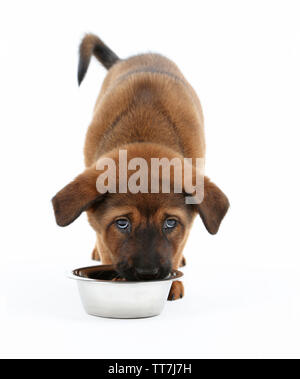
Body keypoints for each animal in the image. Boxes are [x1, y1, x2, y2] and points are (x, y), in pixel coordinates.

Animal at [52, 36, 230, 302]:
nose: (148, 274)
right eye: (122, 223)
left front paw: (172, 283)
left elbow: (178, 246)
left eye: (170, 223)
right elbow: (106, 245)